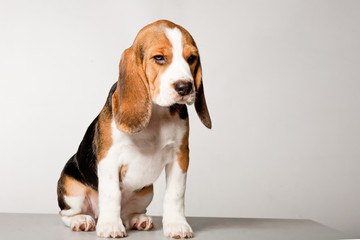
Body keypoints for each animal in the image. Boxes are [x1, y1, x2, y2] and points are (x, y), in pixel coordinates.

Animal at [56, 20, 211, 238]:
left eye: (191, 59)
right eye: (159, 58)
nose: (185, 87)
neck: (156, 112)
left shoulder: (180, 156)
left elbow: (175, 194)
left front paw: (177, 225)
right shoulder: (109, 158)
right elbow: (111, 194)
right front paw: (111, 226)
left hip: (146, 192)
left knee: (127, 213)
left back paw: (137, 219)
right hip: (71, 188)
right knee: (66, 213)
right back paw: (82, 220)